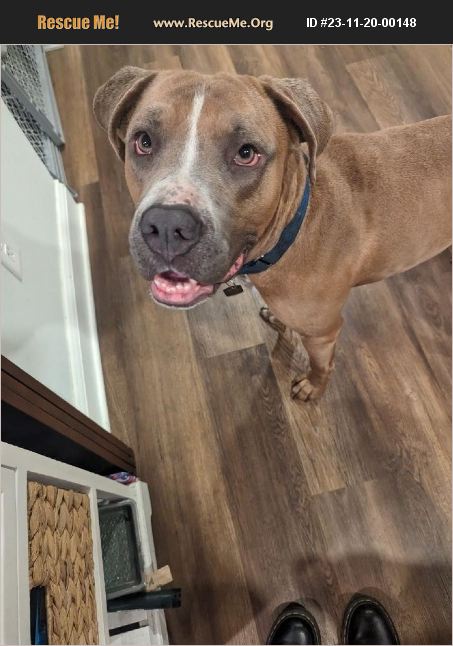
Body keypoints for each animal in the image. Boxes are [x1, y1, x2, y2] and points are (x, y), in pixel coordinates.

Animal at [94, 67, 451, 401]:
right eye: (144, 141)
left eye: (246, 153)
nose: (167, 225)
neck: (293, 226)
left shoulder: (323, 333)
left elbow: (321, 365)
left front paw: (312, 387)